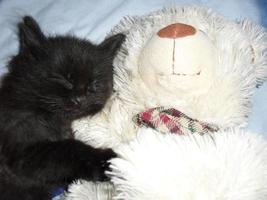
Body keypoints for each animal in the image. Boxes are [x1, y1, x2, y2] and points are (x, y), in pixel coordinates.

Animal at [0, 16, 126, 200]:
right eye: (64, 79)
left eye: (93, 84)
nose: (80, 98)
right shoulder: (22, 150)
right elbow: (68, 148)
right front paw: (108, 161)